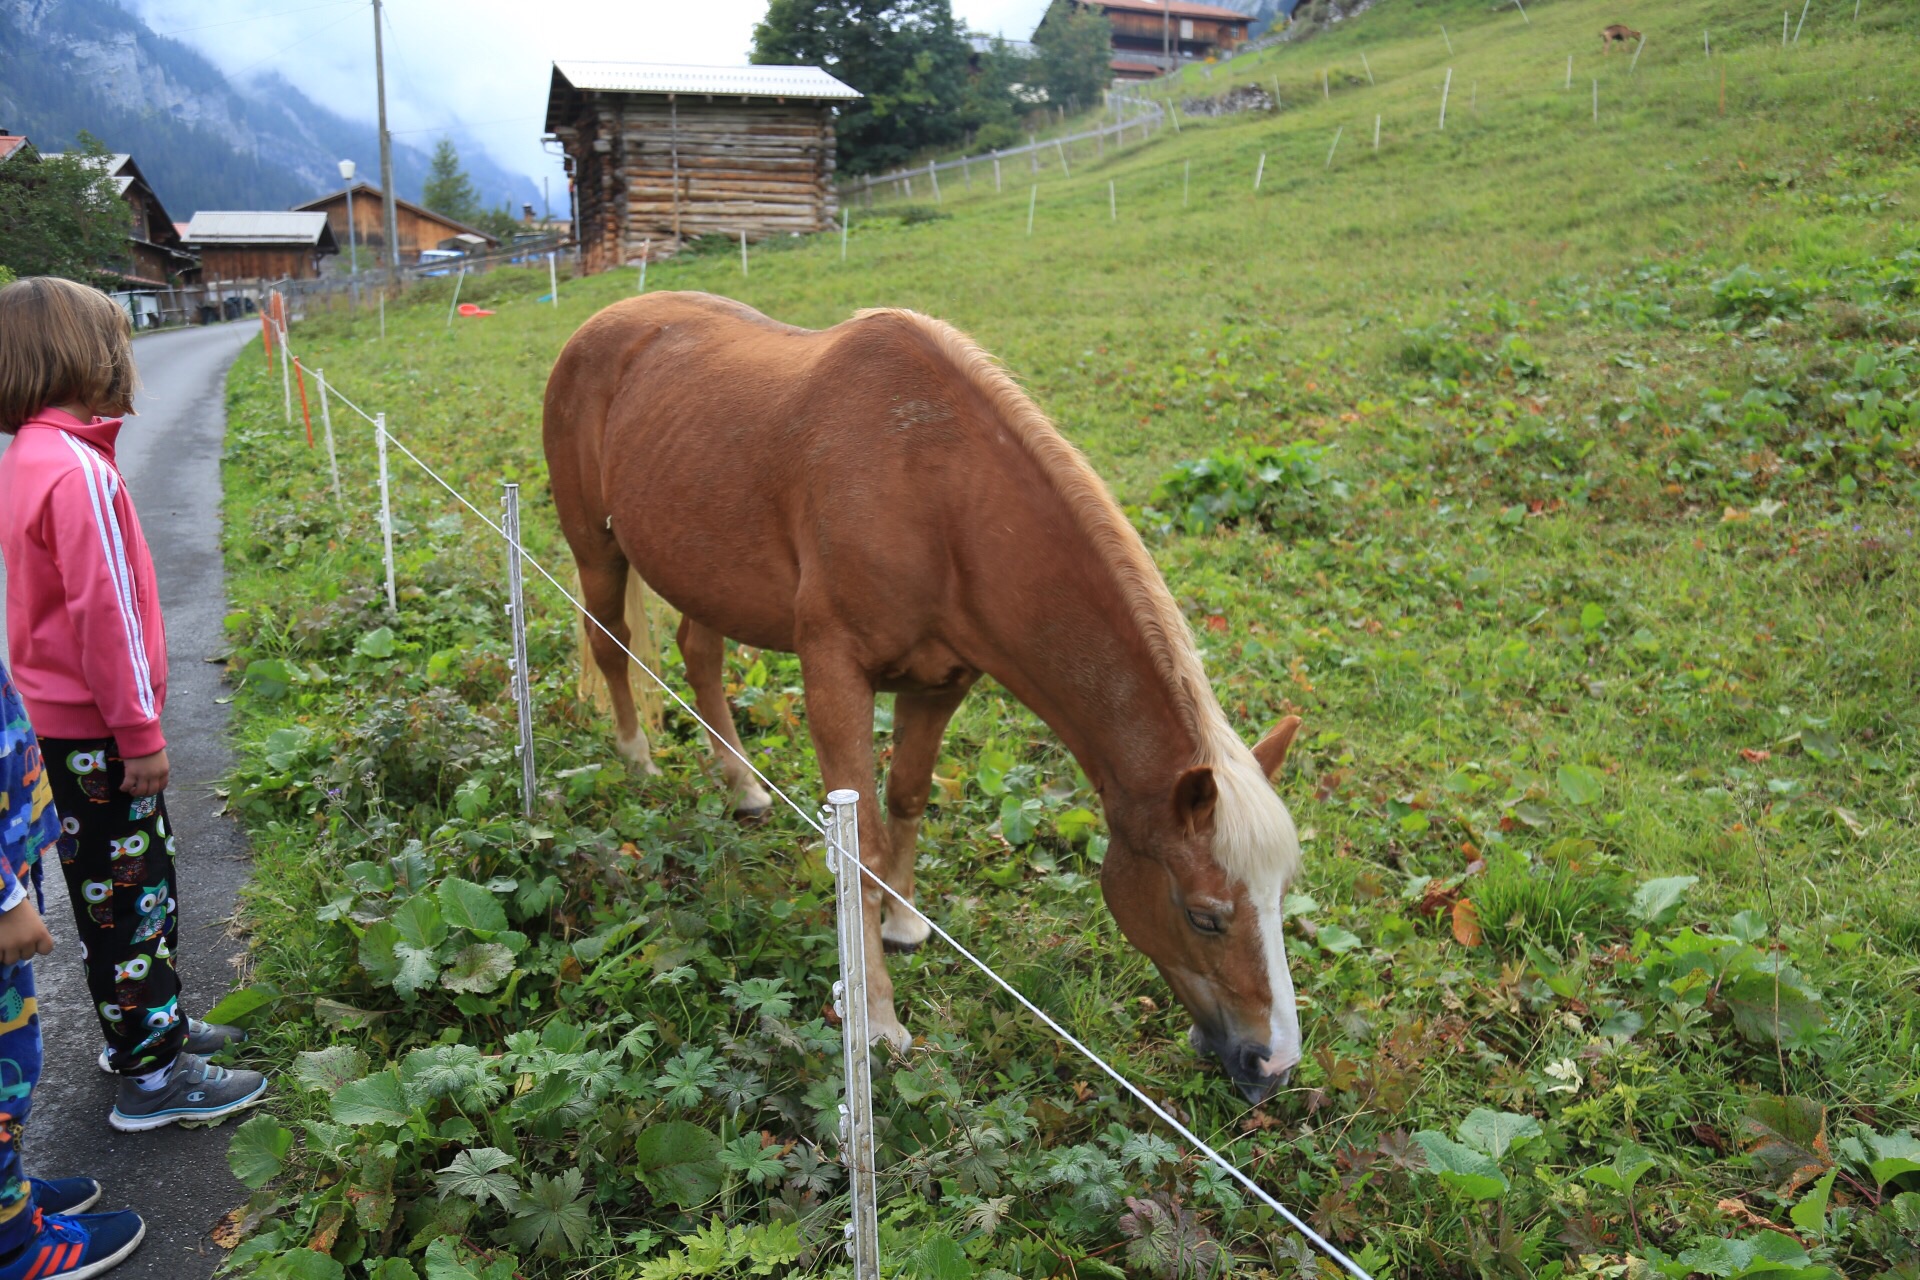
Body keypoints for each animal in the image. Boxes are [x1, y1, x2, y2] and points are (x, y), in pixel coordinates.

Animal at [549, 289, 1313, 1105]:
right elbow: (860, 843)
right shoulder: (834, 673)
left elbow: (908, 798)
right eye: (1205, 917)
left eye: (1280, 893)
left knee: (700, 655)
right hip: (597, 548)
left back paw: (744, 788)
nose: (1272, 1065)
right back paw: (637, 759)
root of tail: (604, 321)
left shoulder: (942, 683)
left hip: (705, 575)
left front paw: (906, 922)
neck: (935, 489)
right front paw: (879, 1023)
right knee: (609, 643)